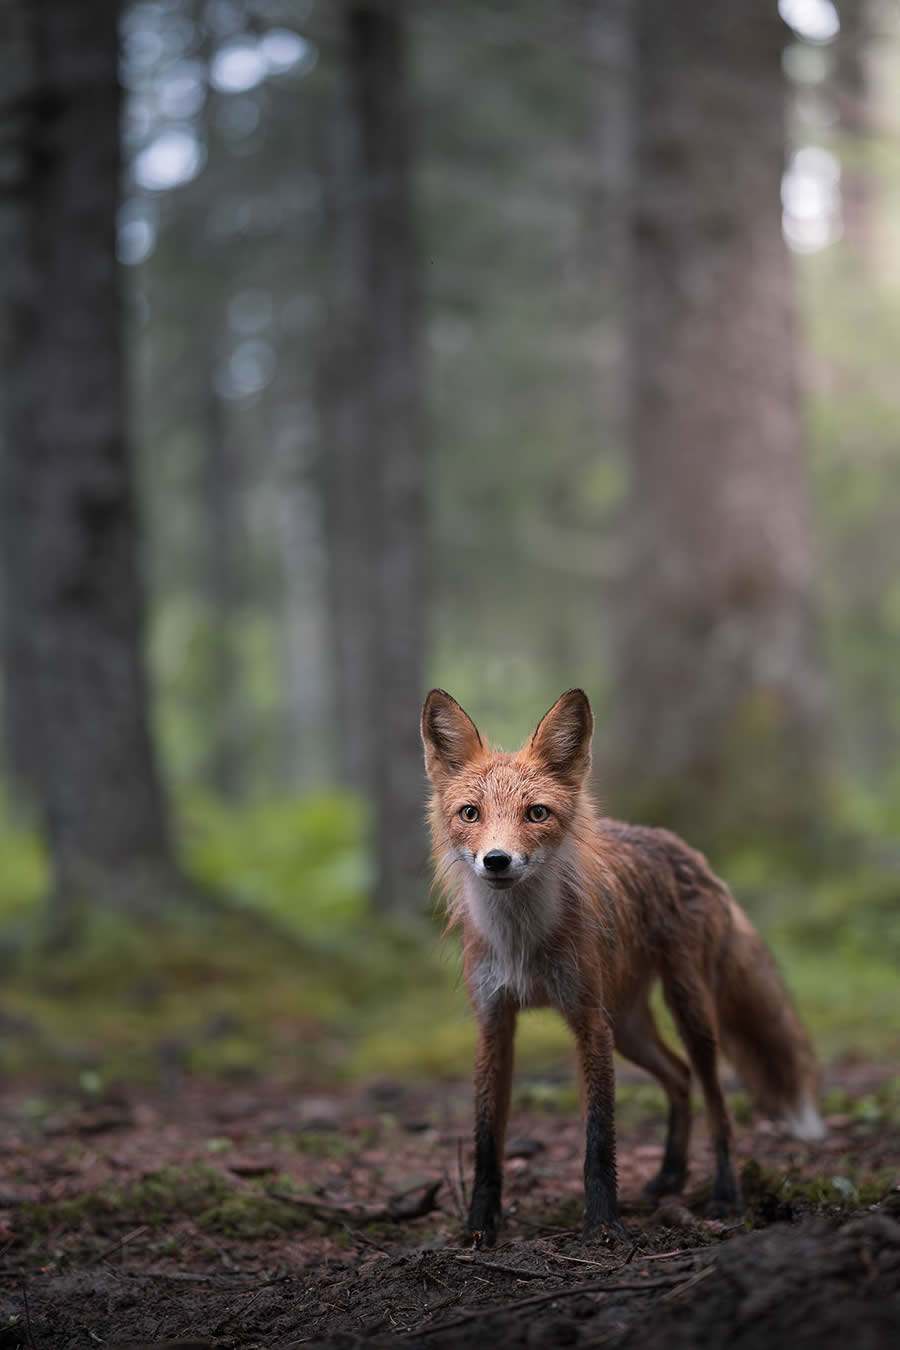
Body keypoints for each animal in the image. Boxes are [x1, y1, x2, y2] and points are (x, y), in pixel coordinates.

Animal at [423, 685, 825, 1242]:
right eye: (469, 814)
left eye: (536, 814)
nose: (497, 861)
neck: (523, 943)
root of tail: (681, 847)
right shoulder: (495, 1022)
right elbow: (486, 1143)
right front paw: (479, 1229)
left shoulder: (589, 1022)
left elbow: (599, 1138)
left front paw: (603, 1226)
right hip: (629, 1025)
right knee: (678, 1076)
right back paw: (669, 1176)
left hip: (687, 1009)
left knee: (717, 1103)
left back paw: (725, 1195)